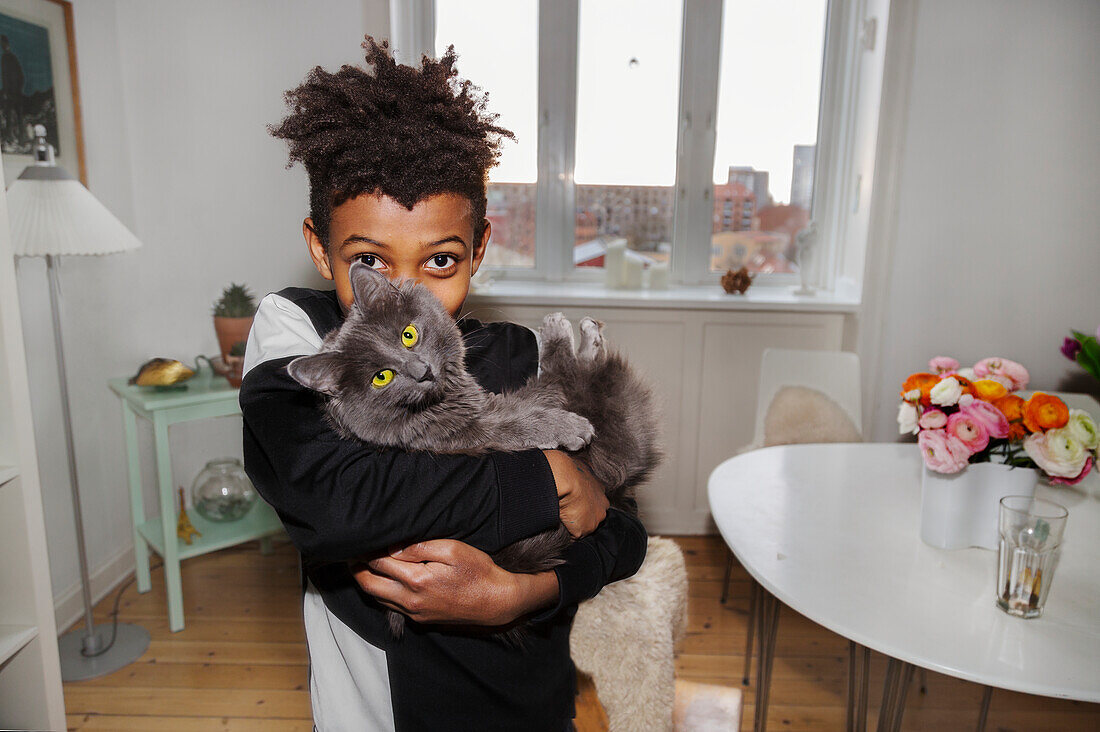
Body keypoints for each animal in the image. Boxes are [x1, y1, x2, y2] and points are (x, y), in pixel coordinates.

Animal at [288, 260, 655, 634]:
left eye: (408, 335)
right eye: (382, 377)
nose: (422, 371)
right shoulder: (477, 428)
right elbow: (533, 412)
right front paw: (571, 426)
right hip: (613, 432)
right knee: (577, 378)